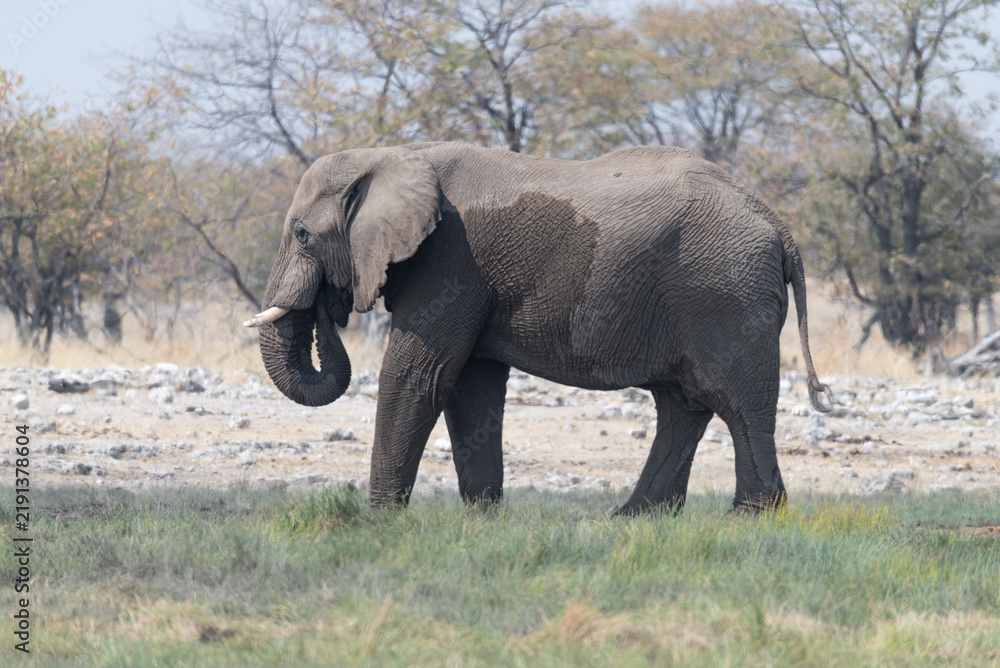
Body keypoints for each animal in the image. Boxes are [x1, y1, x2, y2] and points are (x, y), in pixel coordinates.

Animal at [245, 141, 831, 514]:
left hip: (725, 294)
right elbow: (470, 387)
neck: (391, 154)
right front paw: (483, 518)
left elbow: (420, 376)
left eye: (302, 235)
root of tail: (776, 222)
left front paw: (381, 520)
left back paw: (751, 516)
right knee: (683, 404)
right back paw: (634, 518)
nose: (329, 305)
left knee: (736, 401)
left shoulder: (451, 262)